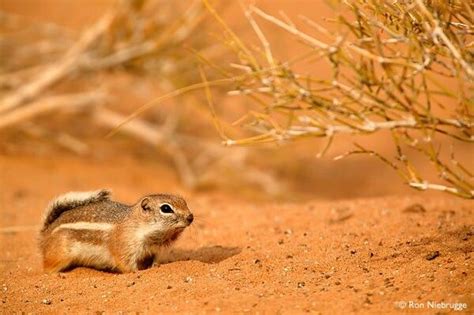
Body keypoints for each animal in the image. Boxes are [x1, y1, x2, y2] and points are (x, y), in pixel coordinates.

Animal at [37, 190, 193, 274]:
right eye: (166, 208)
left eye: (184, 201)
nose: (190, 217)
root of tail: (46, 233)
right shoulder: (124, 246)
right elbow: (125, 263)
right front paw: (135, 272)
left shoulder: (153, 251)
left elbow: (153, 261)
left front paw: (155, 266)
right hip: (60, 255)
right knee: (47, 269)